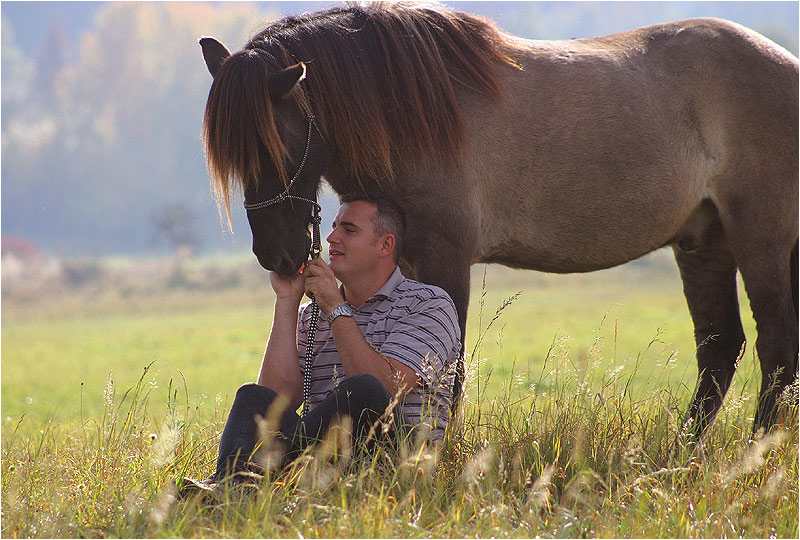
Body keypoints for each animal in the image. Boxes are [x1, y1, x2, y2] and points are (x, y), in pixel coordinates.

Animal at [198, 2, 792, 436]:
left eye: (276, 146)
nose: (278, 255)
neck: (408, 112)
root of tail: (786, 63)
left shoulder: (445, 258)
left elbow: (446, 376)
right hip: (704, 242)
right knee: (720, 348)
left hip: (760, 239)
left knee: (776, 346)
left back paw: (756, 450)